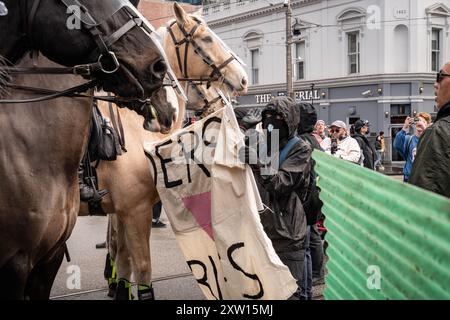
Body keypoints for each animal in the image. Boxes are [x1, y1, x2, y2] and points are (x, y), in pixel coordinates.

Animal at [82, 3, 248, 300]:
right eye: (206, 38)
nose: (243, 78)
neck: (135, 128)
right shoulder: (135, 210)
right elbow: (141, 267)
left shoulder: (121, 210)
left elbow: (123, 260)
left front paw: (115, 284)